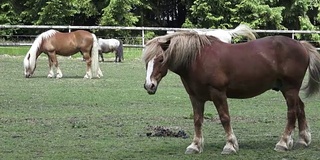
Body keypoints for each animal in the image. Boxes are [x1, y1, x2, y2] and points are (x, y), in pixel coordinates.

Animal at [142, 31, 320, 155]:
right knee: (300, 108)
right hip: (288, 89)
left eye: (160, 59)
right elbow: (197, 120)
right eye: (146, 61)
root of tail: (301, 45)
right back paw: (303, 140)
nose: (149, 85)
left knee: (292, 113)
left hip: (290, 89)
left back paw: (283, 143)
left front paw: (230, 145)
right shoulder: (195, 97)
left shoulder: (218, 93)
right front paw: (195, 146)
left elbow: (224, 118)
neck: (198, 59)